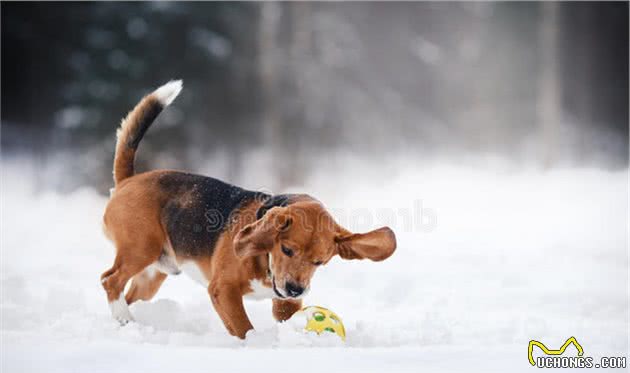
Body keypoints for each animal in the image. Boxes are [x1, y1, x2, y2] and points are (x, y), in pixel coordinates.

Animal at [101, 80, 398, 338]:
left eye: (319, 262)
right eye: (287, 249)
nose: (295, 289)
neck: (265, 261)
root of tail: (129, 180)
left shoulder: (286, 303)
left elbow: (285, 314)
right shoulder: (224, 290)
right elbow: (244, 328)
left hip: (153, 274)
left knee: (128, 293)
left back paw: (128, 323)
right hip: (141, 248)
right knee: (110, 280)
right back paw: (124, 317)